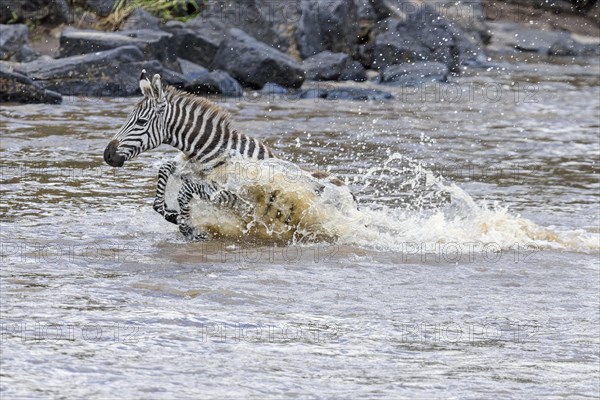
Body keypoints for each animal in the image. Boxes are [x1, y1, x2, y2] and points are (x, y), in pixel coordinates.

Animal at [105, 69, 354, 241]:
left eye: (141, 122)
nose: (107, 155)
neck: (213, 152)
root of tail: (351, 193)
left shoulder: (233, 195)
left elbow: (186, 191)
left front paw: (188, 226)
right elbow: (165, 170)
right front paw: (170, 213)